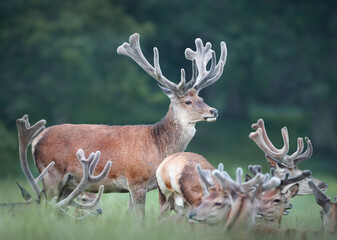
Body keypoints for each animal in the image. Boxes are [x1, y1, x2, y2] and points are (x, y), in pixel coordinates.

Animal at [32, 33, 226, 219]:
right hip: (51, 173)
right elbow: (140, 217)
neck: (158, 147)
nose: (214, 111)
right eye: (188, 101)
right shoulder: (136, 180)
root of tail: (36, 139)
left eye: (201, 98)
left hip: (67, 184)